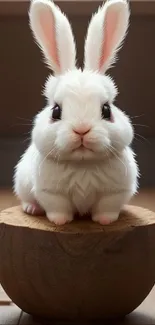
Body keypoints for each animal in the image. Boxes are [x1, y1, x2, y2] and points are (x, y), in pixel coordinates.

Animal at [13, 0, 139, 224]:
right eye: (55, 111)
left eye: (107, 110)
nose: (81, 130)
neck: (83, 165)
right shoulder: (51, 193)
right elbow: (58, 208)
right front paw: (60, 222)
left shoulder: (114, 193)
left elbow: (107, 208)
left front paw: (104, 221)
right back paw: (31, 208)